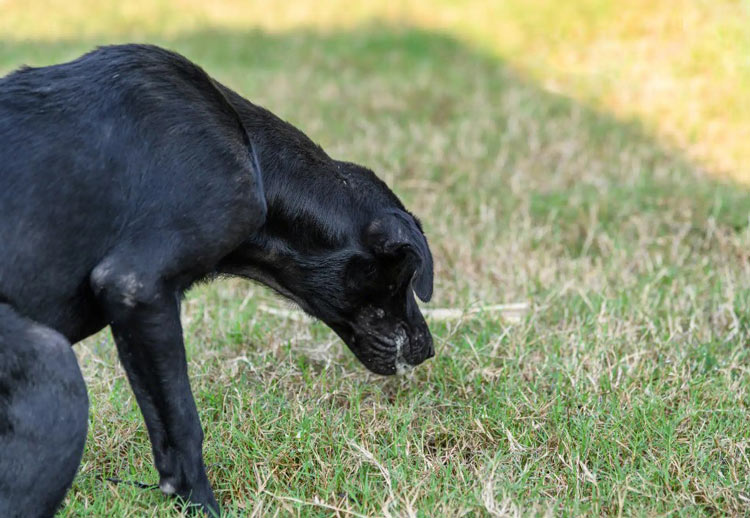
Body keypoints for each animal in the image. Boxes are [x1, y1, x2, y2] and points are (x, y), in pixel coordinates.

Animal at [0, 45, 434, 518]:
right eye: (403, 276)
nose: (428, 348)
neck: (255, 159)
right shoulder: (137, 287)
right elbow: (185, 426)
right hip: (53, 367)